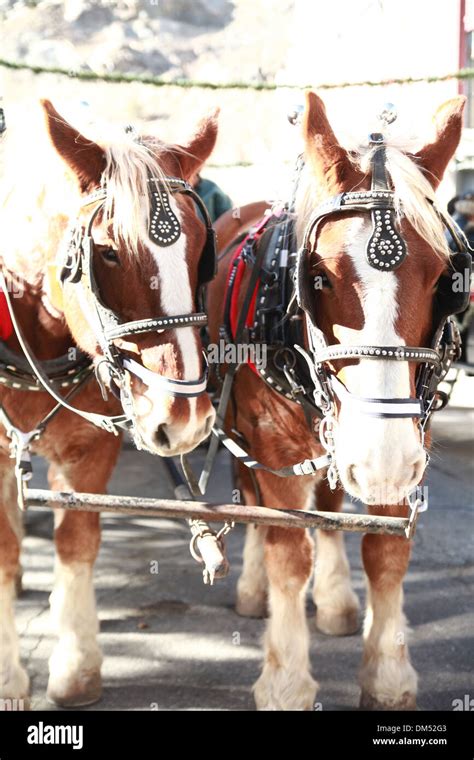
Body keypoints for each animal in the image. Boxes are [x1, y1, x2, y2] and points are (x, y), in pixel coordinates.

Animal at [0, 101, 218, 708]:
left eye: (202, 251)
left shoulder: (90, 449)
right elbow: (4, 551)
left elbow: (78, 543)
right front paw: (9, 675)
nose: (184, 419)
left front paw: (77, 668)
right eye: (108, 252)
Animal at [209, 92, 464, 708]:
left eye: (444, 280)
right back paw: (252, 587)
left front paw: (388, 673)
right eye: (318, 278)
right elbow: (286, 551)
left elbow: (385, 552)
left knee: (327, 506)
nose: (381, 460)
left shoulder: (407, 442)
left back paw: (336, 601)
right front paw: (285, 680)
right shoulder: (271, 439)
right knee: (250, 497)